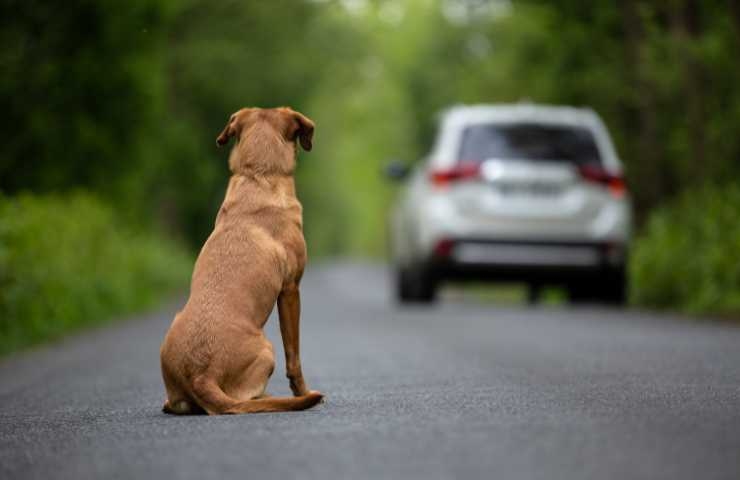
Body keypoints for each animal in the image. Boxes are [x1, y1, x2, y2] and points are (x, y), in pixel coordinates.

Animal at [160, 107, 322, 414]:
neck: (259, 174)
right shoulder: (290, 290)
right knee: (247, 398)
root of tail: (201, 376)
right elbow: (294, 356)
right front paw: (302, 391)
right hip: (267, 349)